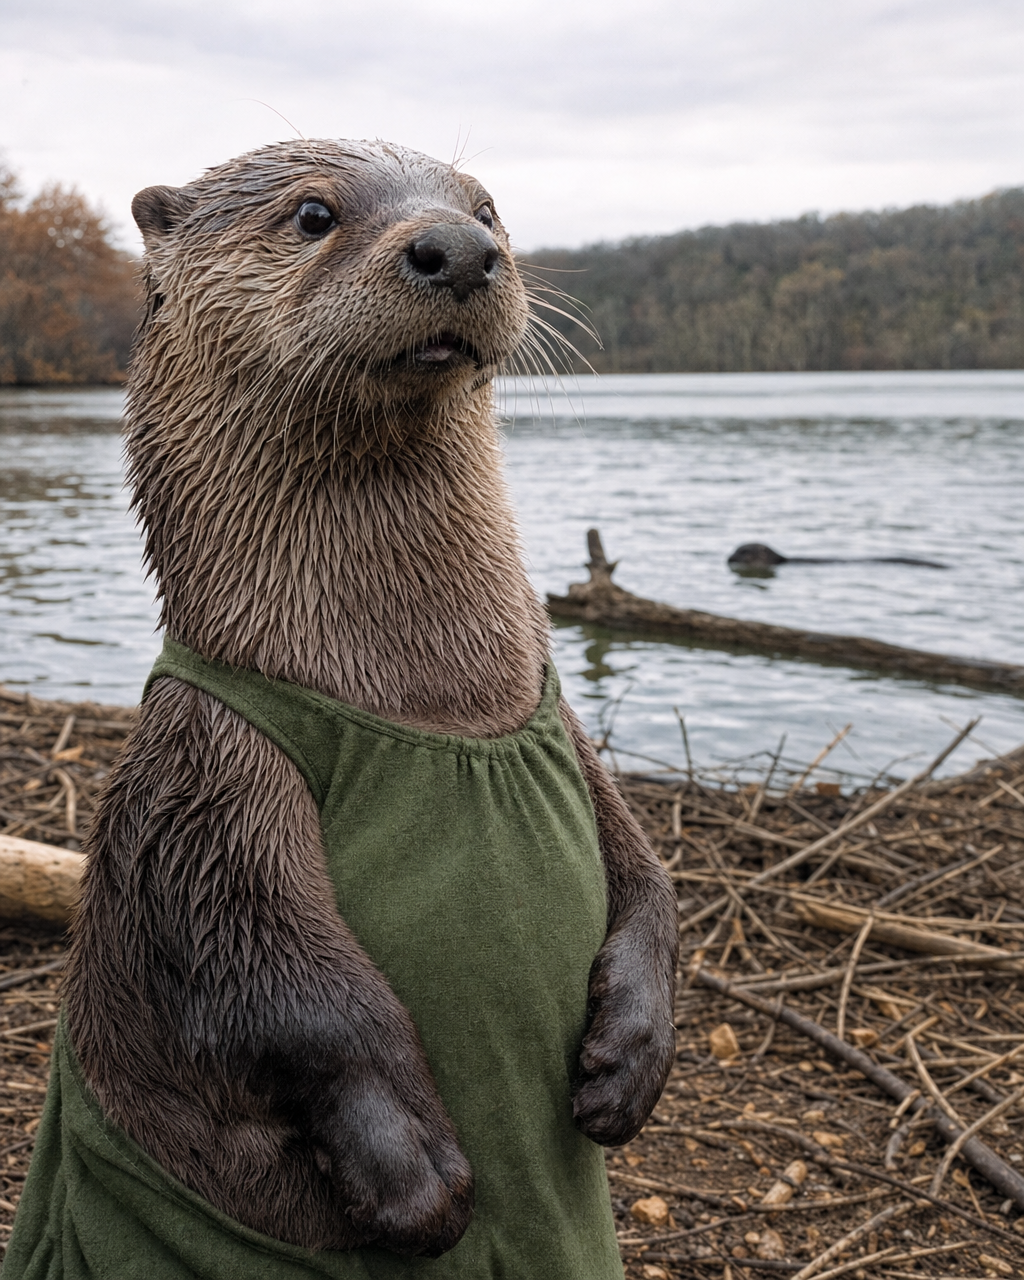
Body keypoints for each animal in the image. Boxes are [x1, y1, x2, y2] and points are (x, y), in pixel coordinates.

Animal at [8, 141, 678, 1277]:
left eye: (486, 207)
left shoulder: (574, 747)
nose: (456, 247)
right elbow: (286, 983)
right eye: (314, 212)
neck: (439, 702)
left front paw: (629, 1060)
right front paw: (414, 1175)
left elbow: (651, 877)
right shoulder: (212, 787)